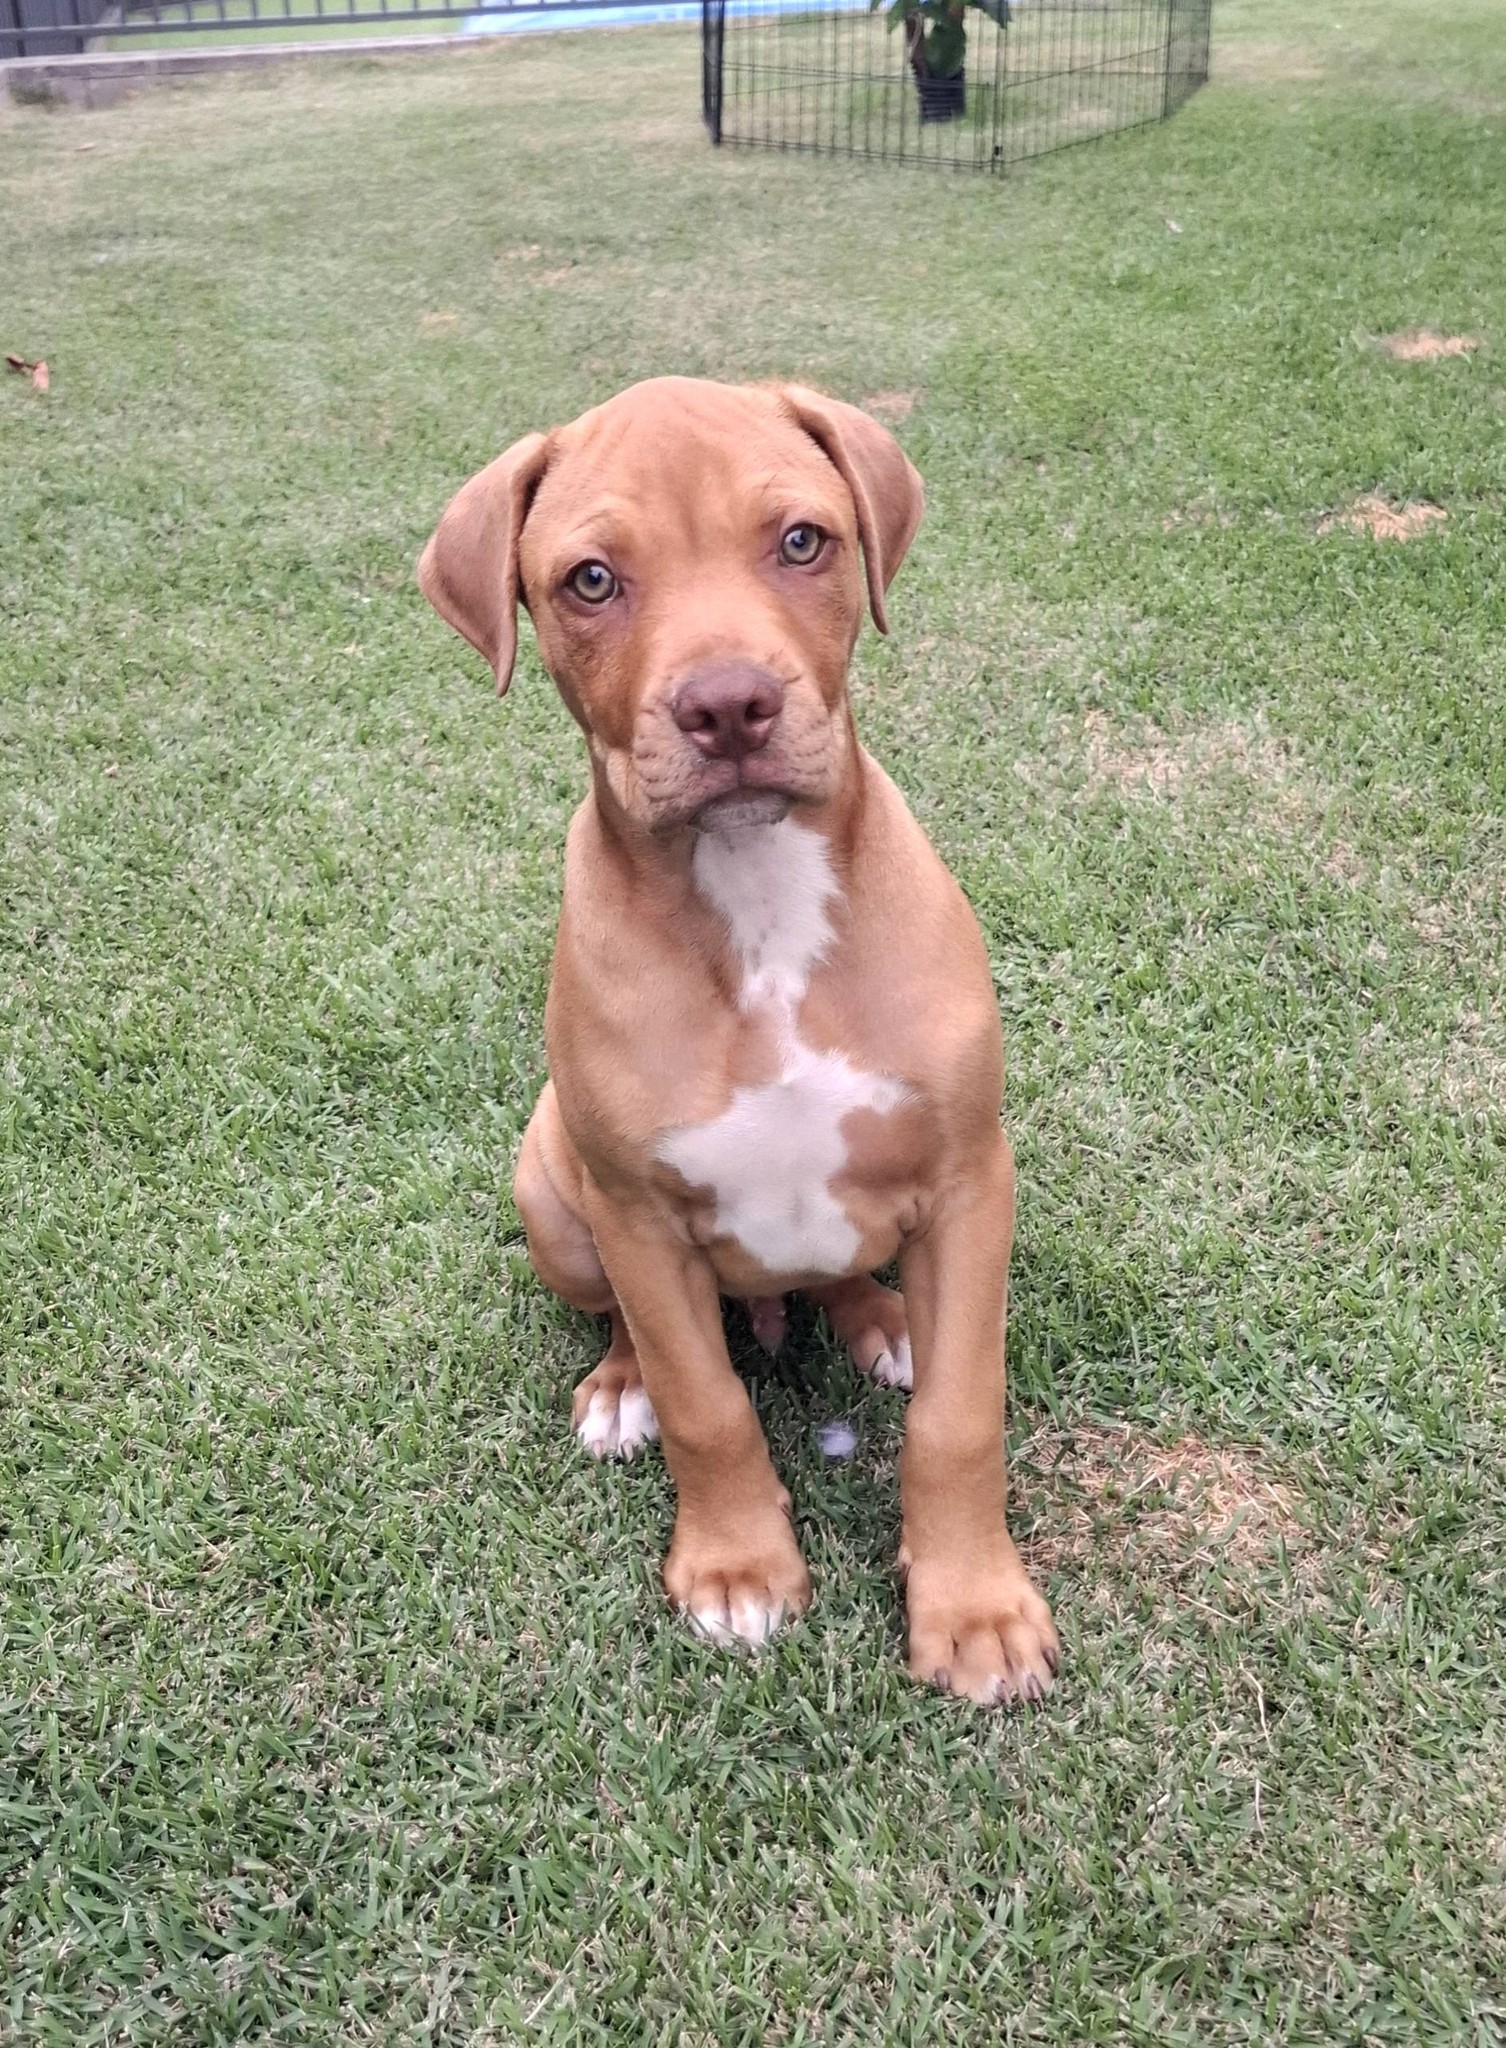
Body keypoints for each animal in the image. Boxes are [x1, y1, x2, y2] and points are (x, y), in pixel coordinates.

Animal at [419, 377, 1058, 1705]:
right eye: (591, 579)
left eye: (802, 540)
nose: (726, 705)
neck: (755, 899)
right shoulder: (637, 1210)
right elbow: (705, 1397)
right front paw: (735, 1567)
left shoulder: (973, 1177)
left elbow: (963, 1414)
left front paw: (973, 1605)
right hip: (555, 1193)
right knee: (635, 1327)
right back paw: (621, 1391)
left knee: (851, 1276)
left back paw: (884, 1321)